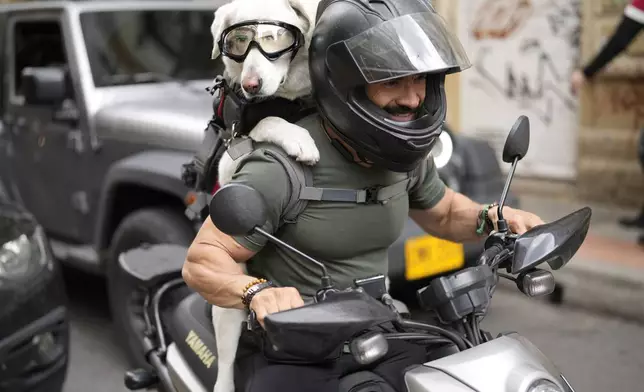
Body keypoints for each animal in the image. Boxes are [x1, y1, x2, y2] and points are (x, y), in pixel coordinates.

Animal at [208, 0, 320, 392]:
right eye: (239, 42)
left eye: (274, 38)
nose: (250, 85)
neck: (289, 101)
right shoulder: (233, 155)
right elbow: (268, 122)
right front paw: (299, 139)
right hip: (228, 308)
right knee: (226, 363)